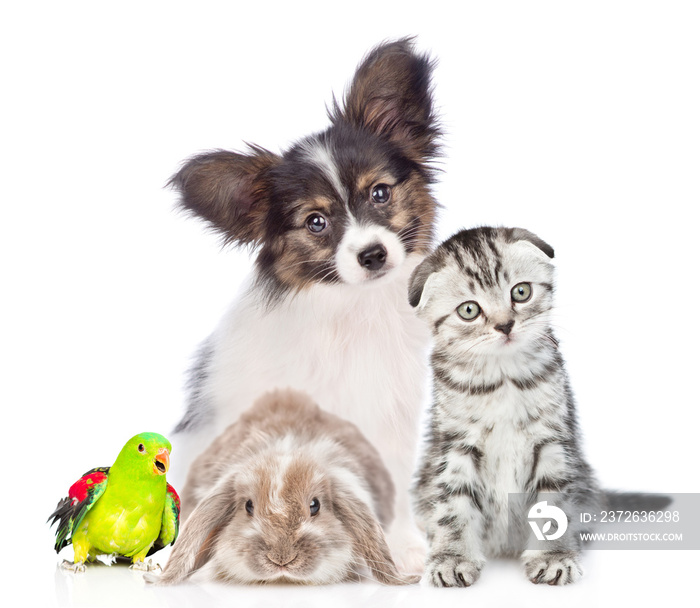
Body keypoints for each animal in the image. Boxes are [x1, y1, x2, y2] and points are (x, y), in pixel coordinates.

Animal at [170, 39, 440, 576]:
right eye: (316, 222)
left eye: (380, 192)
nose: (372, 255)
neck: (352, 310)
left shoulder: (391, 414)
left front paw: (399, 547)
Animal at [410, 227, 600, 584]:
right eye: (469, 310)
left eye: (521, 292)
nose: (505, 325)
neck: (503, 378)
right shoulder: (455, 444)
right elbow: (453, 503)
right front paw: (452, 557)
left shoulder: (552, 440)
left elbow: (554, 505)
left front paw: (553, 556)